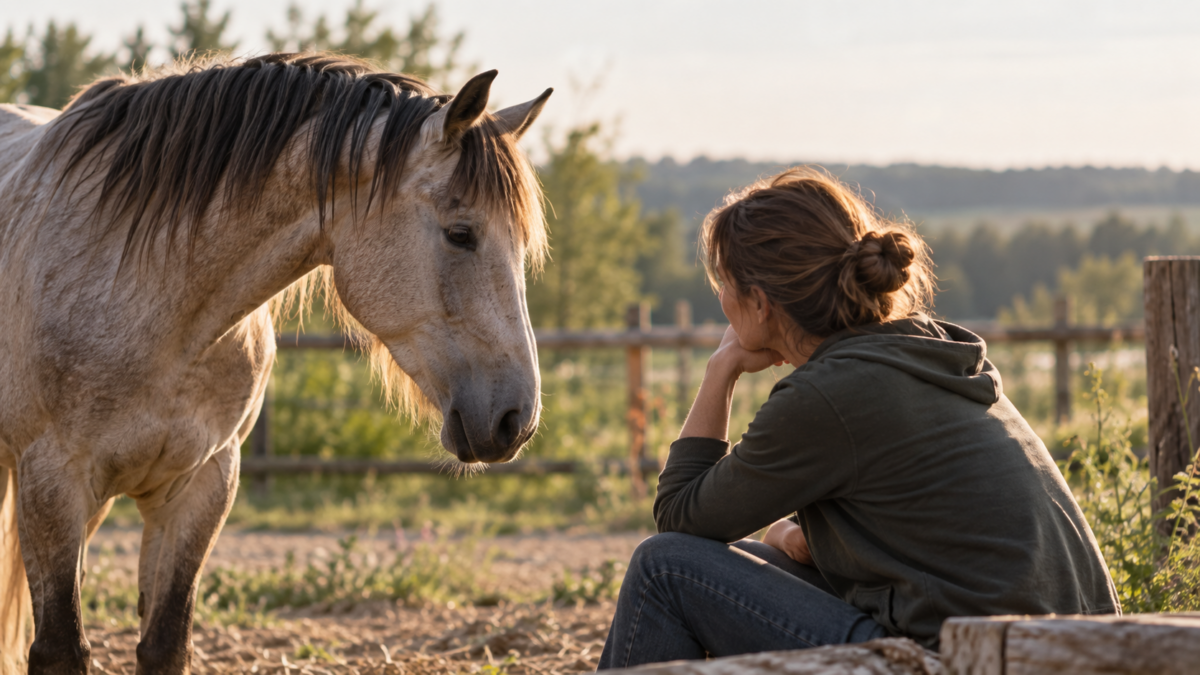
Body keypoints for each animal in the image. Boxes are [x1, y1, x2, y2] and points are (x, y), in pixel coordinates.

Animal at [0, 52, 551, 674]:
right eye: (461, 234)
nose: (515, 420)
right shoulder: (53, 481)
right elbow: (61, 648)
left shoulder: (203, 484)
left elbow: (165, 642)